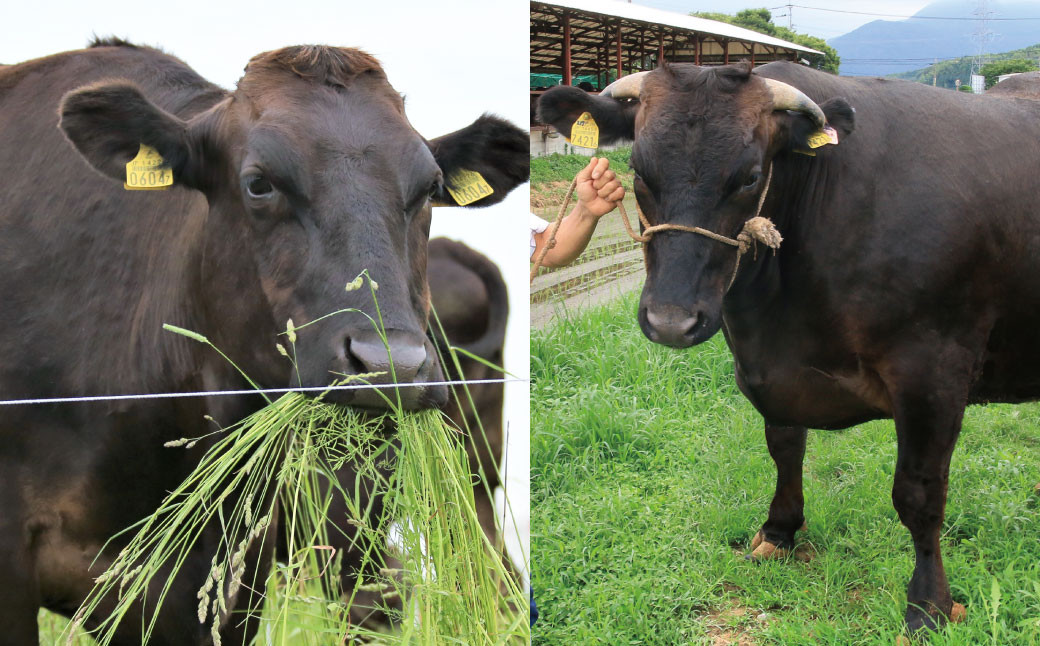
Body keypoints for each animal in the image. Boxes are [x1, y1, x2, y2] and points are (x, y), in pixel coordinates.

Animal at [540, 61, 1040, 636]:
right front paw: (779, 531)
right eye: (639, 171)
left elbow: (918, 493)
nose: (670, 321)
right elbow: (784, 447)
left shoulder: (934, 370)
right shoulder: (768, 369)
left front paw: (929, 604)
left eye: (750, 176)